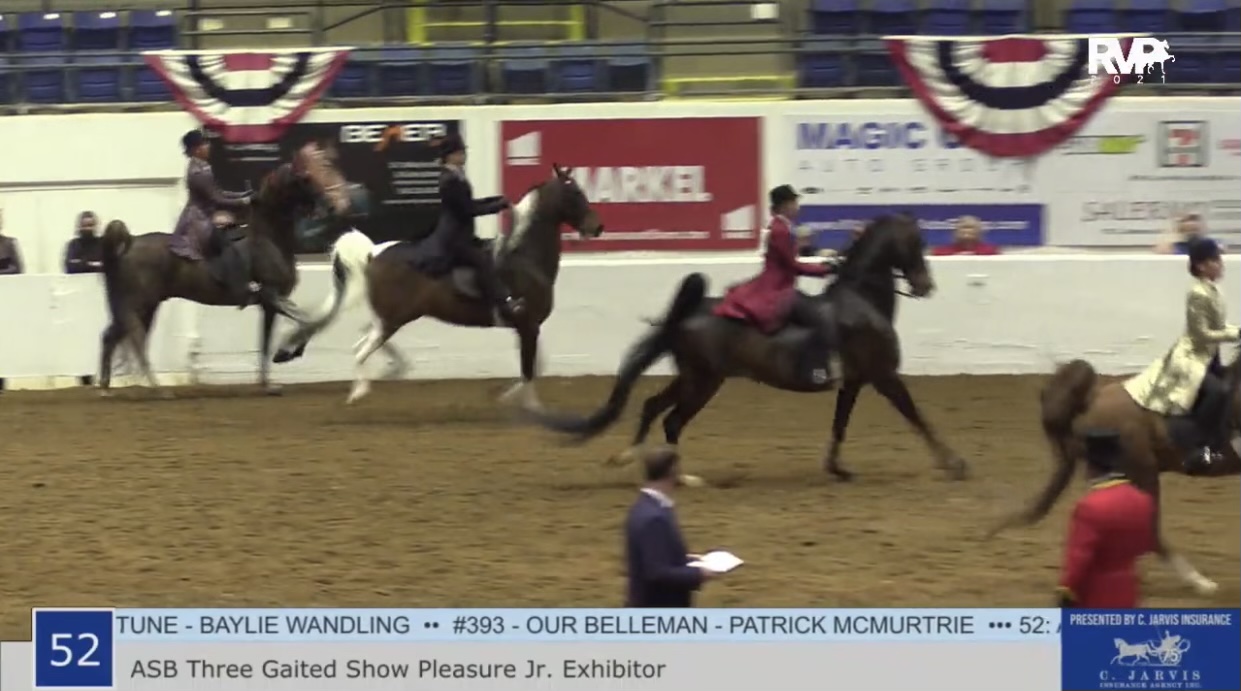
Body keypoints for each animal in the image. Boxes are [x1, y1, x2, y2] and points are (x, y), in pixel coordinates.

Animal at [97, 143, 350, 396]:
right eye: (307, 178)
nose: (333, 205)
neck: (270, 238)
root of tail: (129, 243)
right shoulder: (273, 296)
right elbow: (311, 320)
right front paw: (286, 353)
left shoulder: (269, 305)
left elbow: (266, 342)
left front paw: (267, 384)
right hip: (140, 305)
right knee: (136, 340)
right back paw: (158, 389)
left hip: (142, 306)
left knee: (111, 337)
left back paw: (106, 388)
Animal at [285, 163, 602, 405]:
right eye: (575, 192)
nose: (597, 227)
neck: (525, 257)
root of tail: (373, 252)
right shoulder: (528, 325)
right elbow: (529, 371)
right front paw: (521, 404)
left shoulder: (527, 326)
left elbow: (535, 367)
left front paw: (507, 397)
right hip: (393, 319)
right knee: (360, 349)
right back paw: (360, 392)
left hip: (391, 317)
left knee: (364, 338)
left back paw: (389, 371)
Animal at [516, 213, 969, 485]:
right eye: (915, 242)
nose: (926, 286)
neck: (862, 301)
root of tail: (690, 311)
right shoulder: (884, 376)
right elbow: (917, 416)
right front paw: (954, 463)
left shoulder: (855, 381)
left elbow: (841, 423)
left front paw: (837, 468)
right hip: (704, 381)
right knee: (672, 420)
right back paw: (680, 477)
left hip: (692, 376)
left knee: (652, 406)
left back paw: (634, 459)